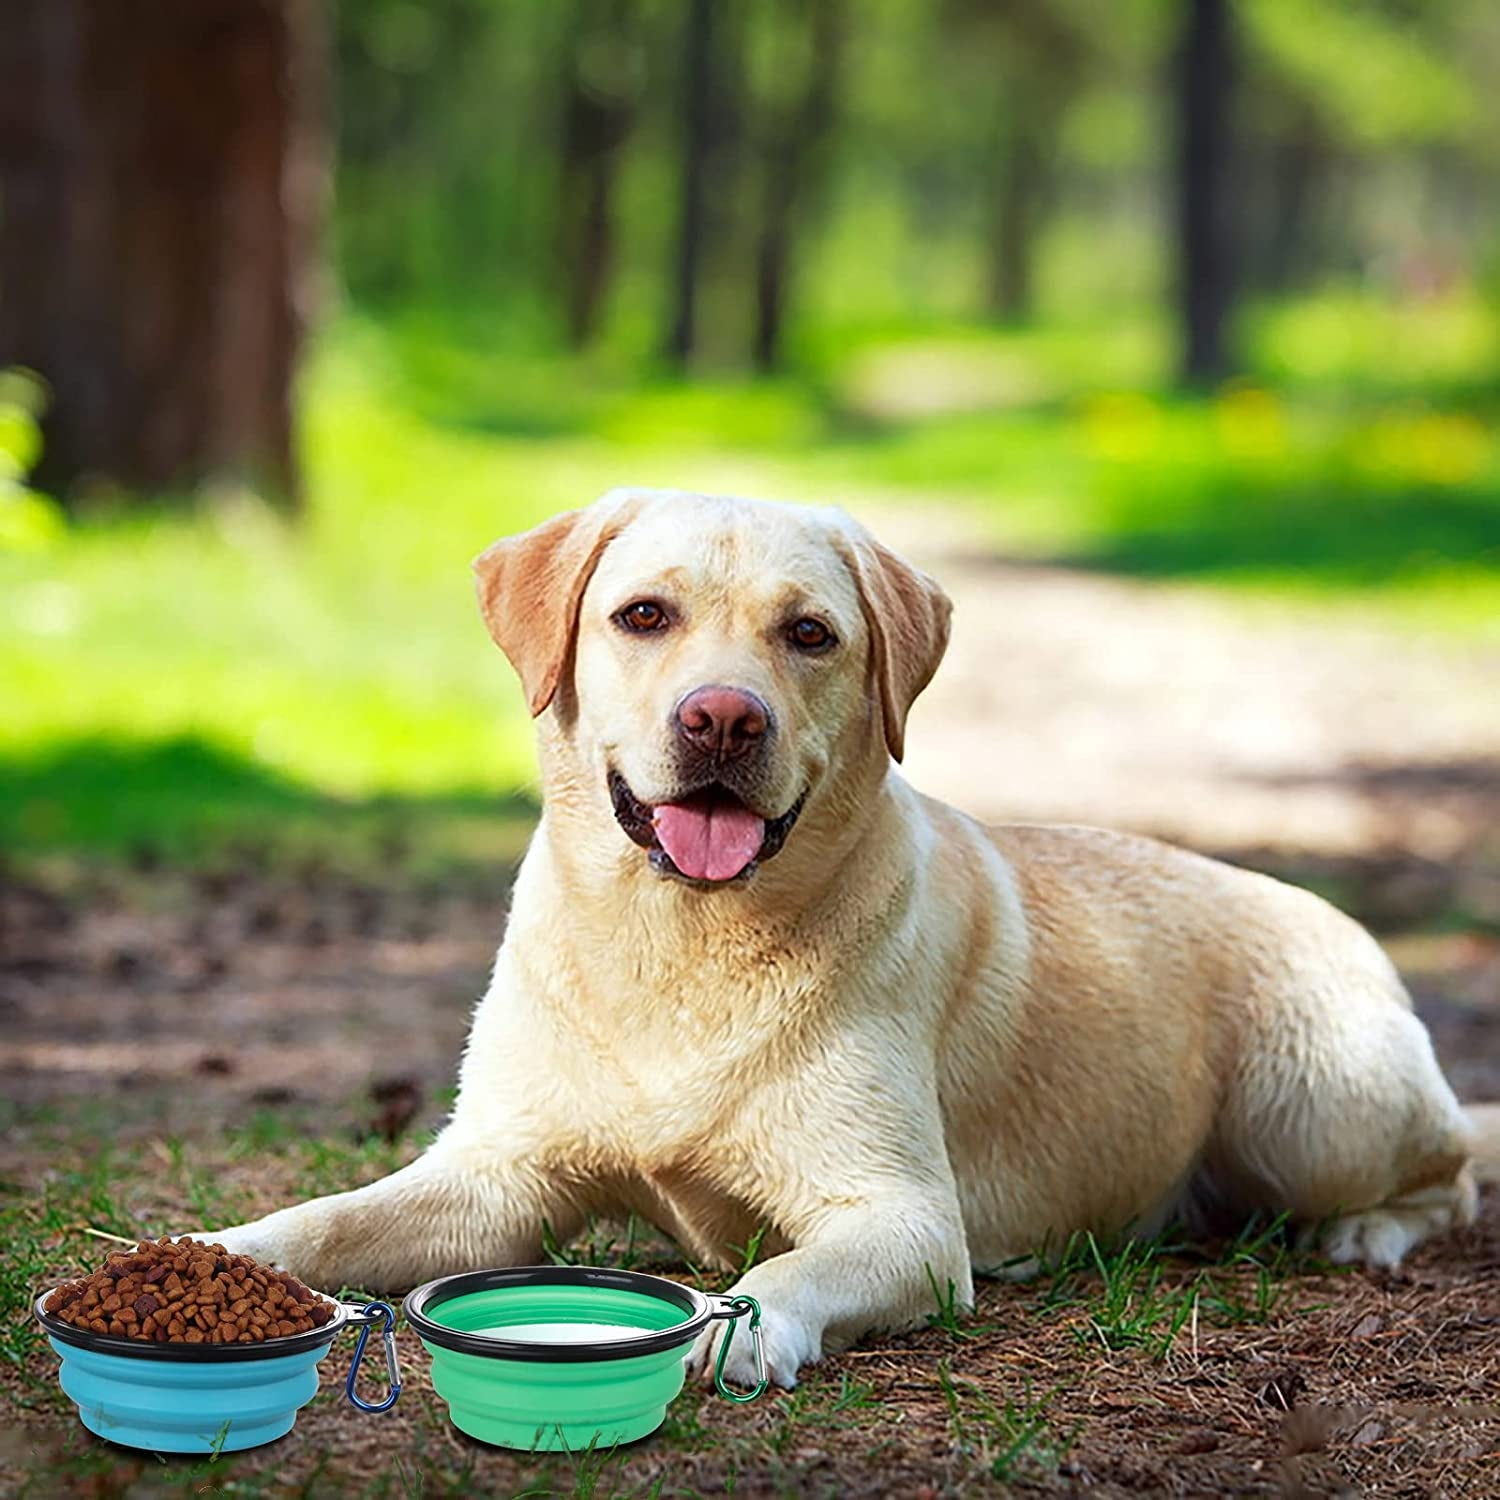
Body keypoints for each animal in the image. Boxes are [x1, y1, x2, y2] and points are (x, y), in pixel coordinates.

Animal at [217, 489, 1494, 1380]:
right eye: (643, 616)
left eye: (811, 634)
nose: (723, 718)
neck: (678, 942)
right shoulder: (494, 1177)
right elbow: (321, 1222)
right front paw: (212, 1256)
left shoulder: (905, 1216)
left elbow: (788, 1263)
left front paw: (745, 1322)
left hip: (1313, 1109)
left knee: (1451, 1174)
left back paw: (1367, 1233)